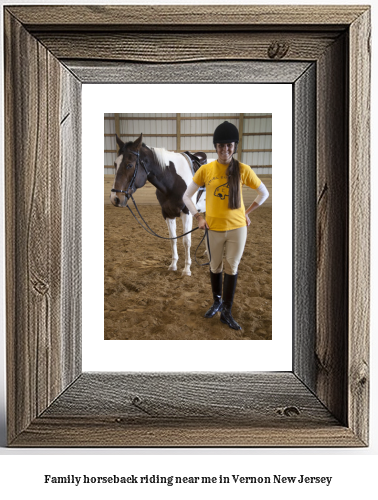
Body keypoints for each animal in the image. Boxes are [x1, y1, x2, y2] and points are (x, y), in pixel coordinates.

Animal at [109, 133, 207, 278]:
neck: (173, 181)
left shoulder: (187, 213)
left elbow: (186, 241)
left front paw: (186, 269)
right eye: (115, 164)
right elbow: (173, 239)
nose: (115, 198)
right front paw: (173, 265)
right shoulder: (167, 214)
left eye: (129, 165)